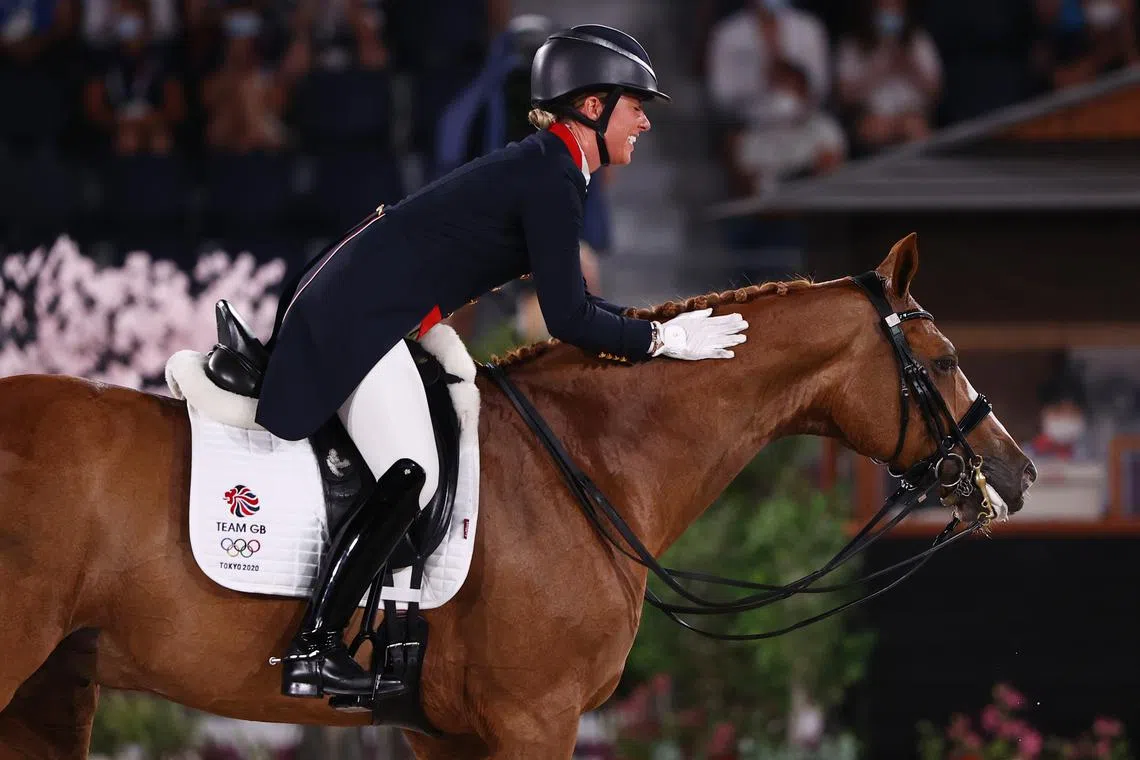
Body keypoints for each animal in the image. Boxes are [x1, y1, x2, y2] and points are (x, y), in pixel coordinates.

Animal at [0, 234, 1035, 759]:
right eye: (944, 358)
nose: (1018, 473)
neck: (588, 460)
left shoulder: (447, 733)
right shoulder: (535, 719)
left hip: (54, 689)